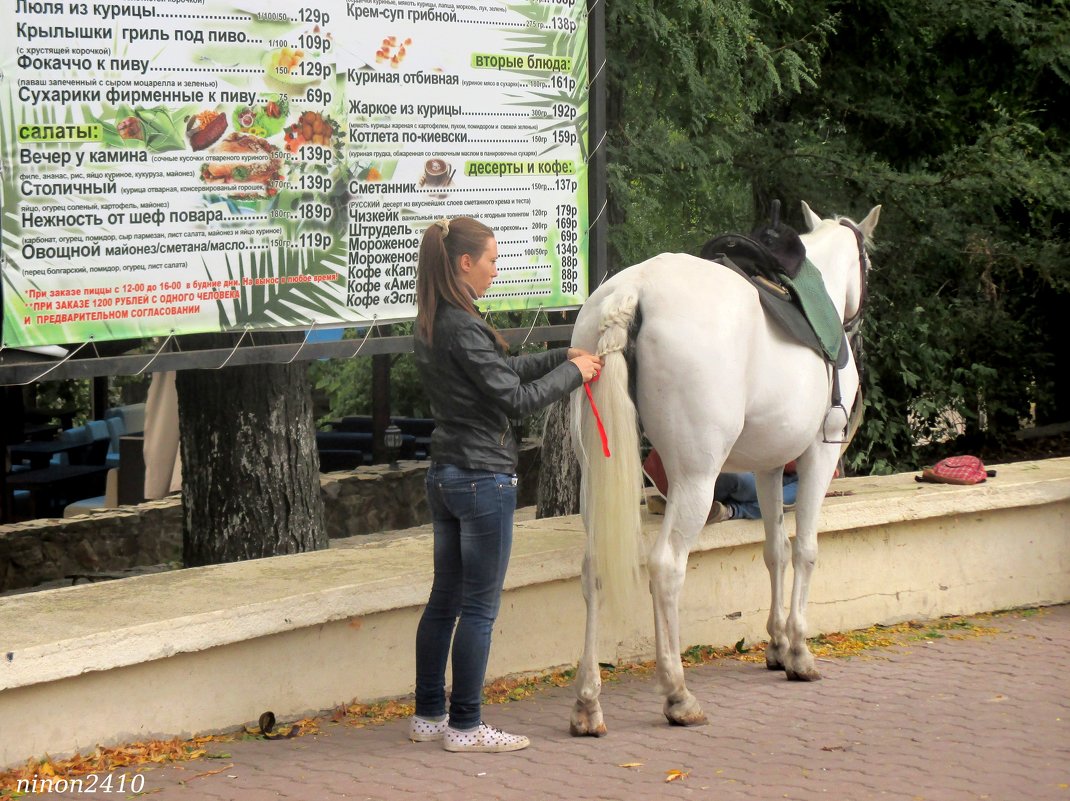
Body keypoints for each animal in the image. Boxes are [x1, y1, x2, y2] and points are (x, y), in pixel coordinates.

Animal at [569, 201, 877, 735]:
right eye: (869, 265)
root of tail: (634, 292)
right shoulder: (818, 454)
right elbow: (805, 551)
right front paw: (798, 650)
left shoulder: (770, 466)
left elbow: (775, 550)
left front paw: (776, 645)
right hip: (696, 479)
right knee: (666, 566)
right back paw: (677, 693)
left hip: (597, 482)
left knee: (594, 570)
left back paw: (589, 702)